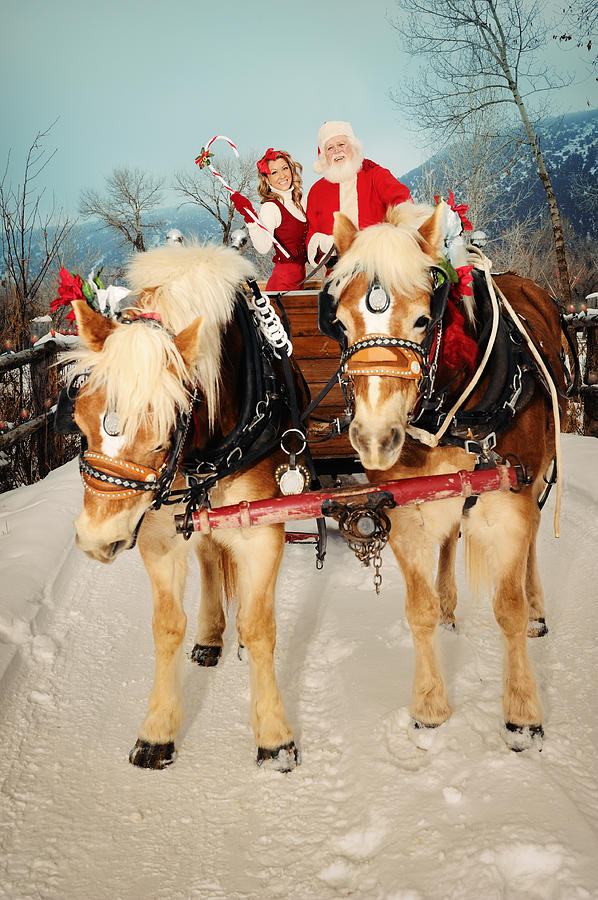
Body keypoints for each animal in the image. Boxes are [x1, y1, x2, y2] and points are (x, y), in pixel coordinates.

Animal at [328, 204, 568, 752]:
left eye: (424, 319)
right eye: (341, 325)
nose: (375, 438)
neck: (453, 414)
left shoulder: (508, 507)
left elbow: (508, 608)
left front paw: (522, 712)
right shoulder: (406, 511)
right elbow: (418, 609)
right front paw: (430, 705)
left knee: (532, 546)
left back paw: (537, 607)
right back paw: (449, 608)